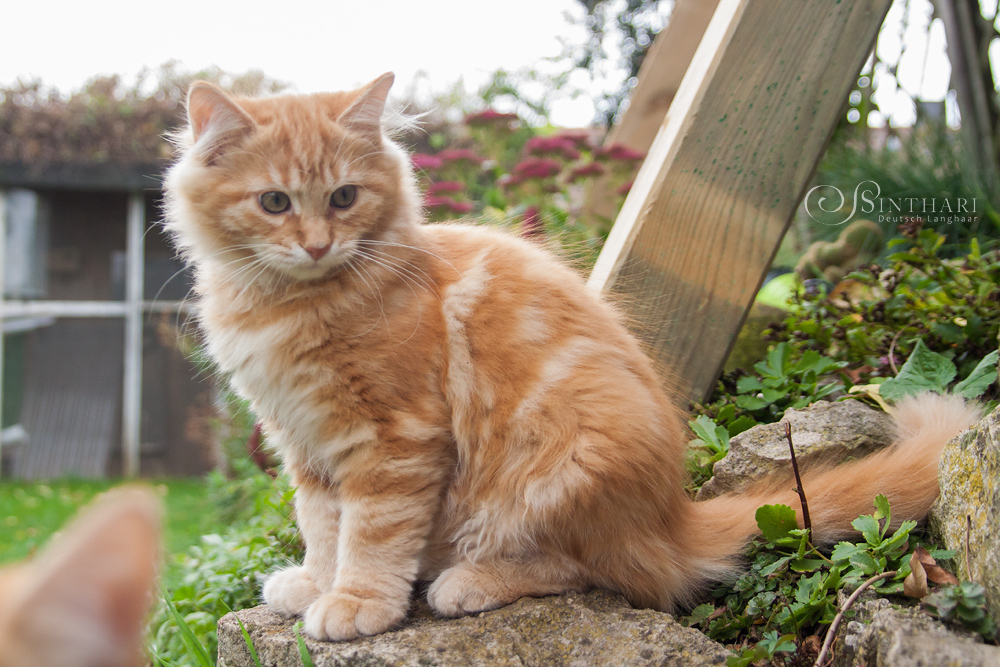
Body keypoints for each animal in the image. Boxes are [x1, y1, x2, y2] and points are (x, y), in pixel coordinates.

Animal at [162, 73, 976, 640]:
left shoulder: (392, 440)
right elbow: (322, 526)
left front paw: (356, 601)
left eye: (343, 197)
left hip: (560, 463)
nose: (316, 245)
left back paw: (468, 582)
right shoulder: (306, 443)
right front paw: (313, 582)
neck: (292, 304)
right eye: (274, 202)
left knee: (601, 573)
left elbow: (370, 534)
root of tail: (672, 515)